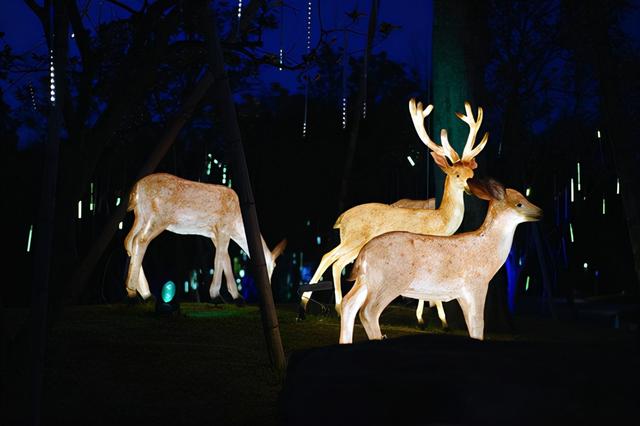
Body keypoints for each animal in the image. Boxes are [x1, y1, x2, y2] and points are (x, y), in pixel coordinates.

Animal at [124, 174, 284, 302]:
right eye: (272, 266)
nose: (268, 289)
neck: (238, 221)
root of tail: (136, 189)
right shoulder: (224, 229)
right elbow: (219, 258)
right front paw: (216, 295)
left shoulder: (215, 234)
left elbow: (226, 259)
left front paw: (237, 297)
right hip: (158, 218)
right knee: (140, 240)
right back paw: (138, 292)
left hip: (141, 217)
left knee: (128, 241)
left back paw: (140, 293)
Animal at [298, 99, 488, 316]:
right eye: (457, 174)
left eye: (471, 174)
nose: (471, 188)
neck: (440, 221)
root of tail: (341, 219)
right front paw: (434, 316)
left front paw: (424, 314)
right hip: (354, 238)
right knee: (330, 258)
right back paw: (323, 305)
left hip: (354, 244)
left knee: (333, 260)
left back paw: (317, 305)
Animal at [338, 178, 544, 344]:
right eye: (519, 204)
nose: (540, 212)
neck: (487, 250)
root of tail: (363, 254)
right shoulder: (477, 283)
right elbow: (479, 323)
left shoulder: (462, 293)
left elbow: (472, 325)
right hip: (389, 281)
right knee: (368, 311)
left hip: (366, 281)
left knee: (348, 304)